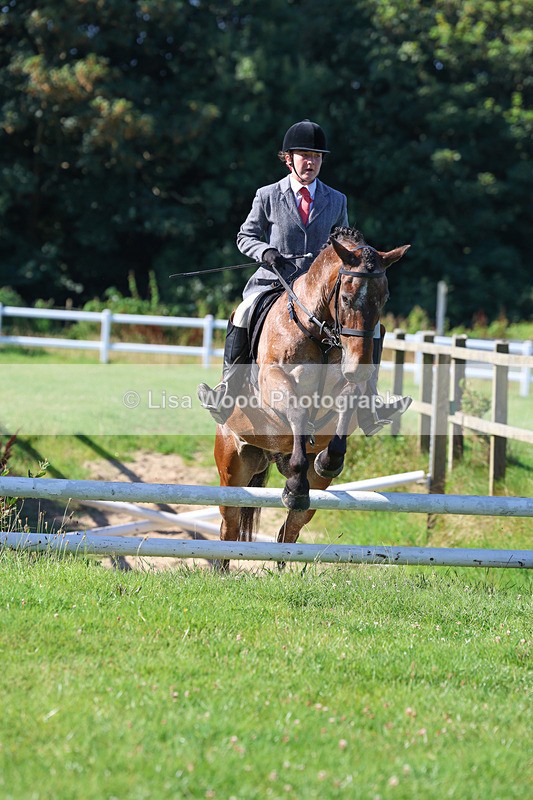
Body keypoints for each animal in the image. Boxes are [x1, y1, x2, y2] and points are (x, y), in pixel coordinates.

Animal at [213, 227, 410, 559]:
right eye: (346, 297)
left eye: (384, 298)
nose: (359, 367)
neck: (318, 332)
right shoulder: (274, 379)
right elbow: (298, 411)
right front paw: (297, 478)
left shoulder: (348, 386)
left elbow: (345, 407)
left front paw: (327, 461)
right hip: (233, 466)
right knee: (229, 524)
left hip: (313, 490)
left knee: (290, 529)